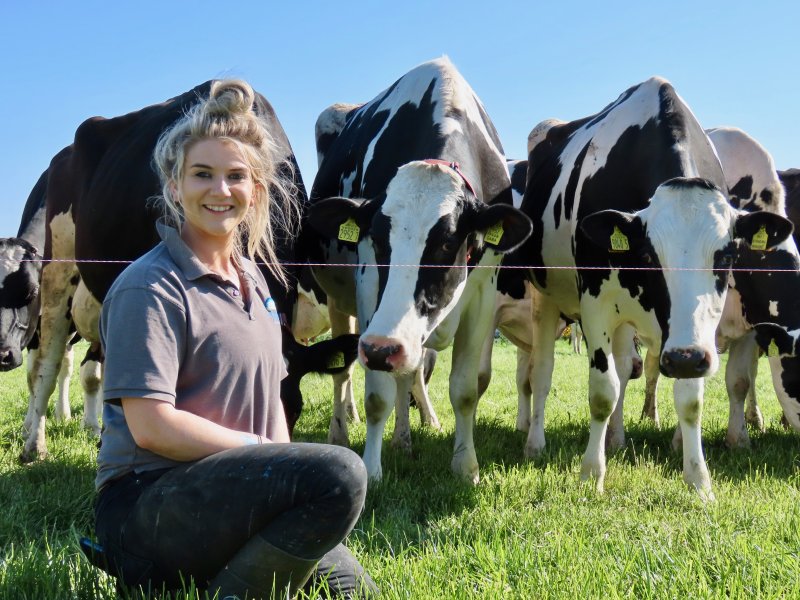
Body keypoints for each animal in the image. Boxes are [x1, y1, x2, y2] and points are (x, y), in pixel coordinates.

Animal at [310, 57, 536, 482]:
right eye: (378, 239)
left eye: (447, 243)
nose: (382, 349)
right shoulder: (369, 290)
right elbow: (377, 396)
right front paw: (371, 469)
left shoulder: (483, 293)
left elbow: (464, 389)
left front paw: (465, 466)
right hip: (340, 302)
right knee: (344, 374)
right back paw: (341, 431)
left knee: (409, 373)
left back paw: (405, 437)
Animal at [516, 77, 792, 500]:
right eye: (648, 255)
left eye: (727, 255)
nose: (683, 359)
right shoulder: (595, 303)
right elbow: (602, 391)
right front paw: (591, 474)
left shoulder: (695, 334)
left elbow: (690, 398)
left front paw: (699, 479)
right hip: (545, 296)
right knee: (542, 372)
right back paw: (535, 443)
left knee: (623, 365)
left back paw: (615, 439)